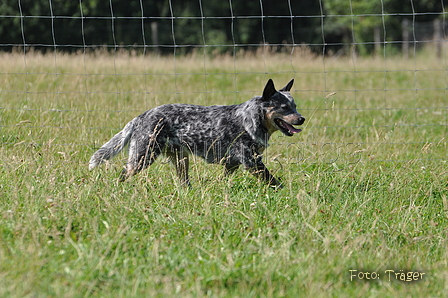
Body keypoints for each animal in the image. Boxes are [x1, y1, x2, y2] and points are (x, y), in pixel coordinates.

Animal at [88, 78, 304, 187]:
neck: (251, 119)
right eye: (284, 107)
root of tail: (142, 116)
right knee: (123, 174)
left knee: (184, 183)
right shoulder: (252, 162)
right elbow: (275, 182)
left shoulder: (232, 164)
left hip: (181, 160)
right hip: (142, 157)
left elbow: (223, 181)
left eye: (294, 106)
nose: (301, 118)